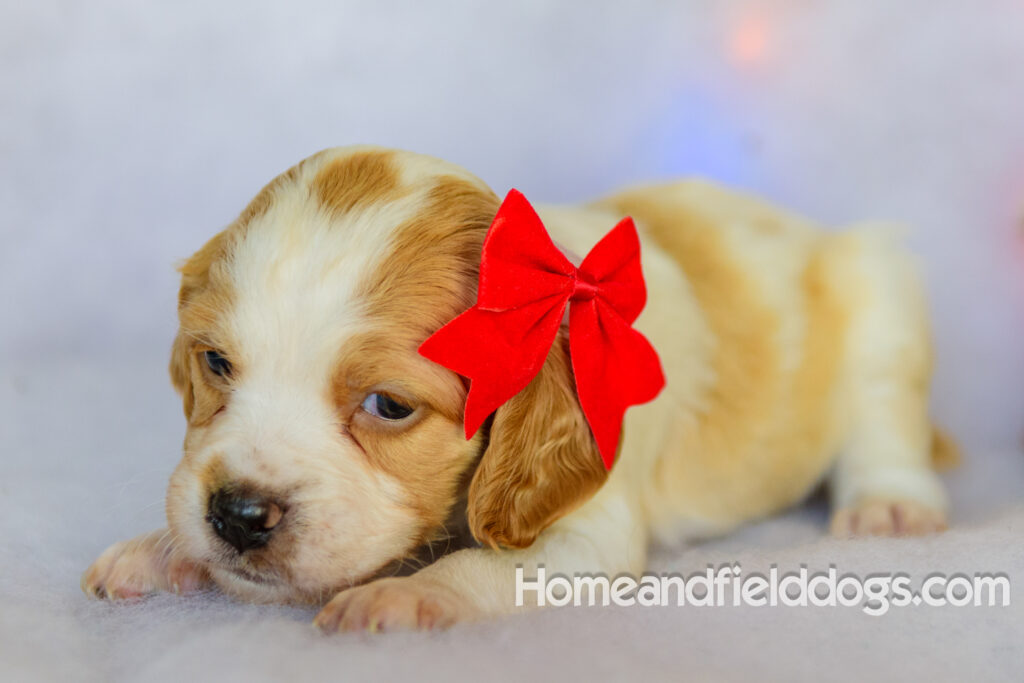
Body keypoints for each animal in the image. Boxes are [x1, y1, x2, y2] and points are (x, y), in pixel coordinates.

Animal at [79, 147, 950, 634]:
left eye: (389, 406)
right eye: (217, 363)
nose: (236, 514)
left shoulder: (589, 530)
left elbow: (481, 566)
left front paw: (399, 599)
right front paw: (157, 550)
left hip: (880, 297)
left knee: (883, 417)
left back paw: (890, 503)